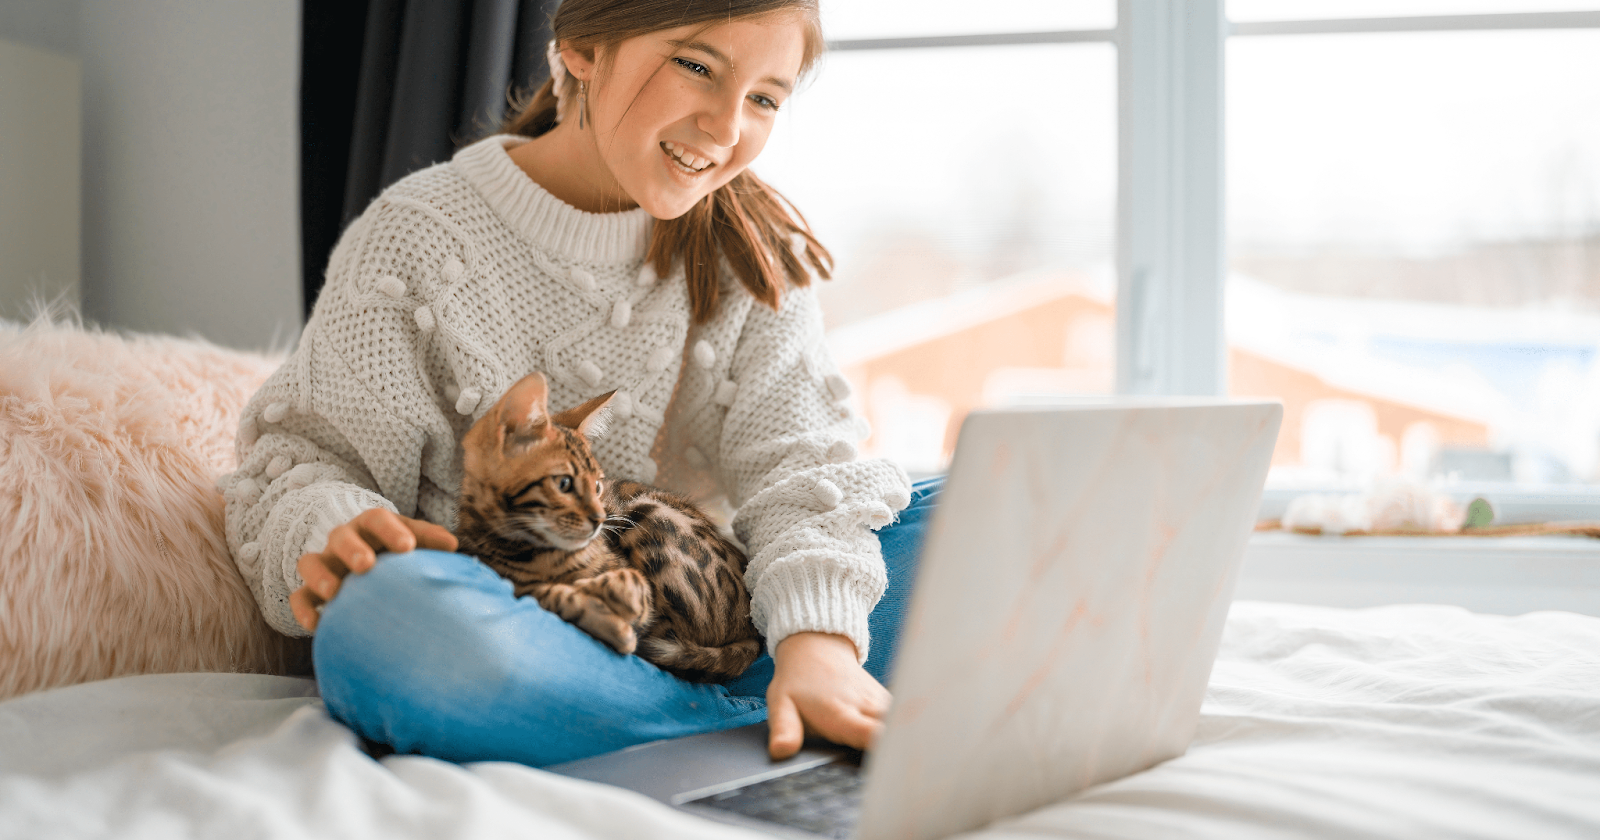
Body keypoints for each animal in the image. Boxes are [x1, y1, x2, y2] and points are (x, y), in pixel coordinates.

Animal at [451, 372, 761, 681]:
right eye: (564, 484)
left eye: (598, 486)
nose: (601, 520)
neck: (531, 554)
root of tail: (751, 633)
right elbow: (543, 593)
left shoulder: (643, 598)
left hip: (646, 511)